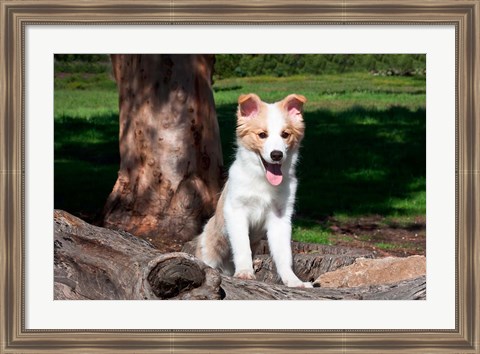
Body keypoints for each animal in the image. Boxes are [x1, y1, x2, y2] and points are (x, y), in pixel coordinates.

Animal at [195, 93, 312, 288]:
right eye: (262, 135)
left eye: (285, 135)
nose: (277, 155)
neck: (262, 181)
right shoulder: (236, 211)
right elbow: (243, 246)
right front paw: (244, 272)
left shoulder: (280, 218)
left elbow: (284, 254)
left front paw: (293, 281)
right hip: (208, 247)